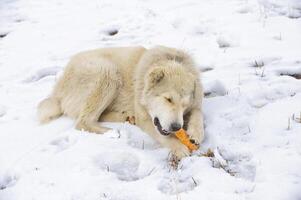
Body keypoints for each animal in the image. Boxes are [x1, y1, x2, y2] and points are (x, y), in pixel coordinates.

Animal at [38, 46, 204, 159]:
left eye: (185, 105)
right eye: (168, 99)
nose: (176, 127)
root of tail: (57, 90)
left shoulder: (195, 104)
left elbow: (198, 114)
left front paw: (196, 133)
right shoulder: (145, 119)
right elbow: (164, 136)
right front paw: (179, 147)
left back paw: (126, 118)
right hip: (107, 72)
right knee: (83, 121)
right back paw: (111, 132)